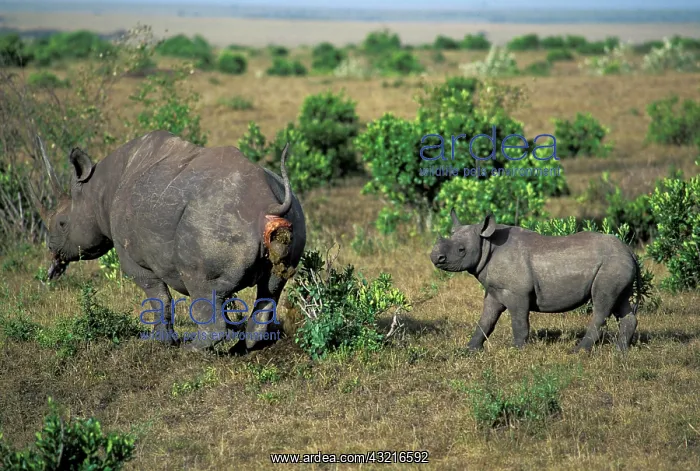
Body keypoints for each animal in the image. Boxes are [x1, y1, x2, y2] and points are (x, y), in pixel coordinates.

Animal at [30, 130, 306, 353]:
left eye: (62, 223)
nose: (52, 250)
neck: (98, 191)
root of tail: (267, 204)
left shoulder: (133, 258)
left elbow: (158, 296)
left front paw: (162, 343)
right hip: (289, 216)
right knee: (270, 289)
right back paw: (245, 346)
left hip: (213, 219)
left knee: (200, 285)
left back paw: (193, 350)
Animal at [430, 211, 641, 353]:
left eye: (461, 250)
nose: (435, 257)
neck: (487, 244)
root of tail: (629, 251)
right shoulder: (494, 291)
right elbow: (486, 320)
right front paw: (470, 349)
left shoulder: (517, 292)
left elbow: (519, 322)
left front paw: (516, 350)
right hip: (617, 264)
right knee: (620, 302)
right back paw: (620, 351)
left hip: (611, 265)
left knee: (602, 302)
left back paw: (577, 351)